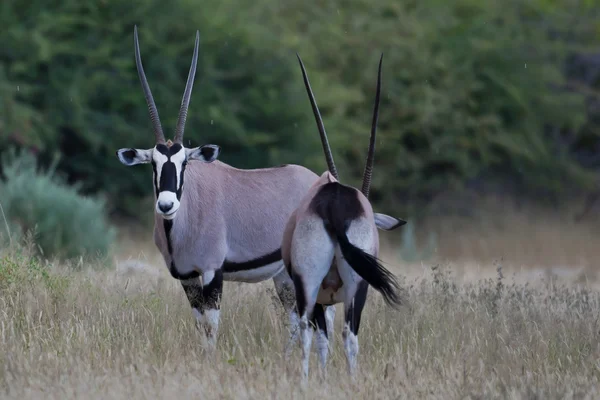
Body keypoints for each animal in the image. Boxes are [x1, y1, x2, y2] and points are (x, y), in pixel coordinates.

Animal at [113, 27, 404, 350]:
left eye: (184, 163)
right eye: (153, 163)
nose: (166, 205)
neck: (182, 220)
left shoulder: (213, 272)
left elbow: (211, 328)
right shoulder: (187, 277)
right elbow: (200, 325)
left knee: (320, 318)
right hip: (286, 276)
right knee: (299, 319)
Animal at [282, 54, 406, 378]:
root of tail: (334, 202)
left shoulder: (322, 299)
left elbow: (322, 338)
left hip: (317, 286)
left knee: (318, 332)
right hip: (349, 287)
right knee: (341, 334)